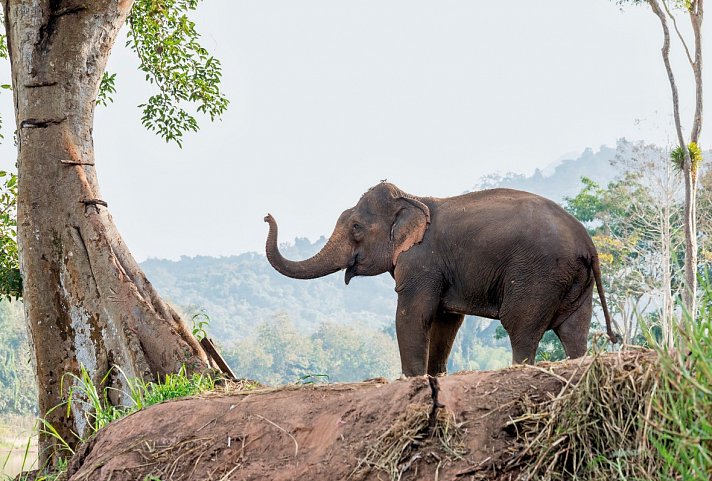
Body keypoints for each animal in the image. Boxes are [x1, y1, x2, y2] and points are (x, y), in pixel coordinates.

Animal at [264, 180, 620, 376]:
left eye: (355, 228)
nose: (266, 215)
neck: (414, 198)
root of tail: (588, 244)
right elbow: (445, 323)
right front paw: (434, 375)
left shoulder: (421, 263)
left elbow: (413, 315)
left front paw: (412, 379)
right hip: (575, 282)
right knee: (574, 332)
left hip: (538, 275)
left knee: (521, 327)